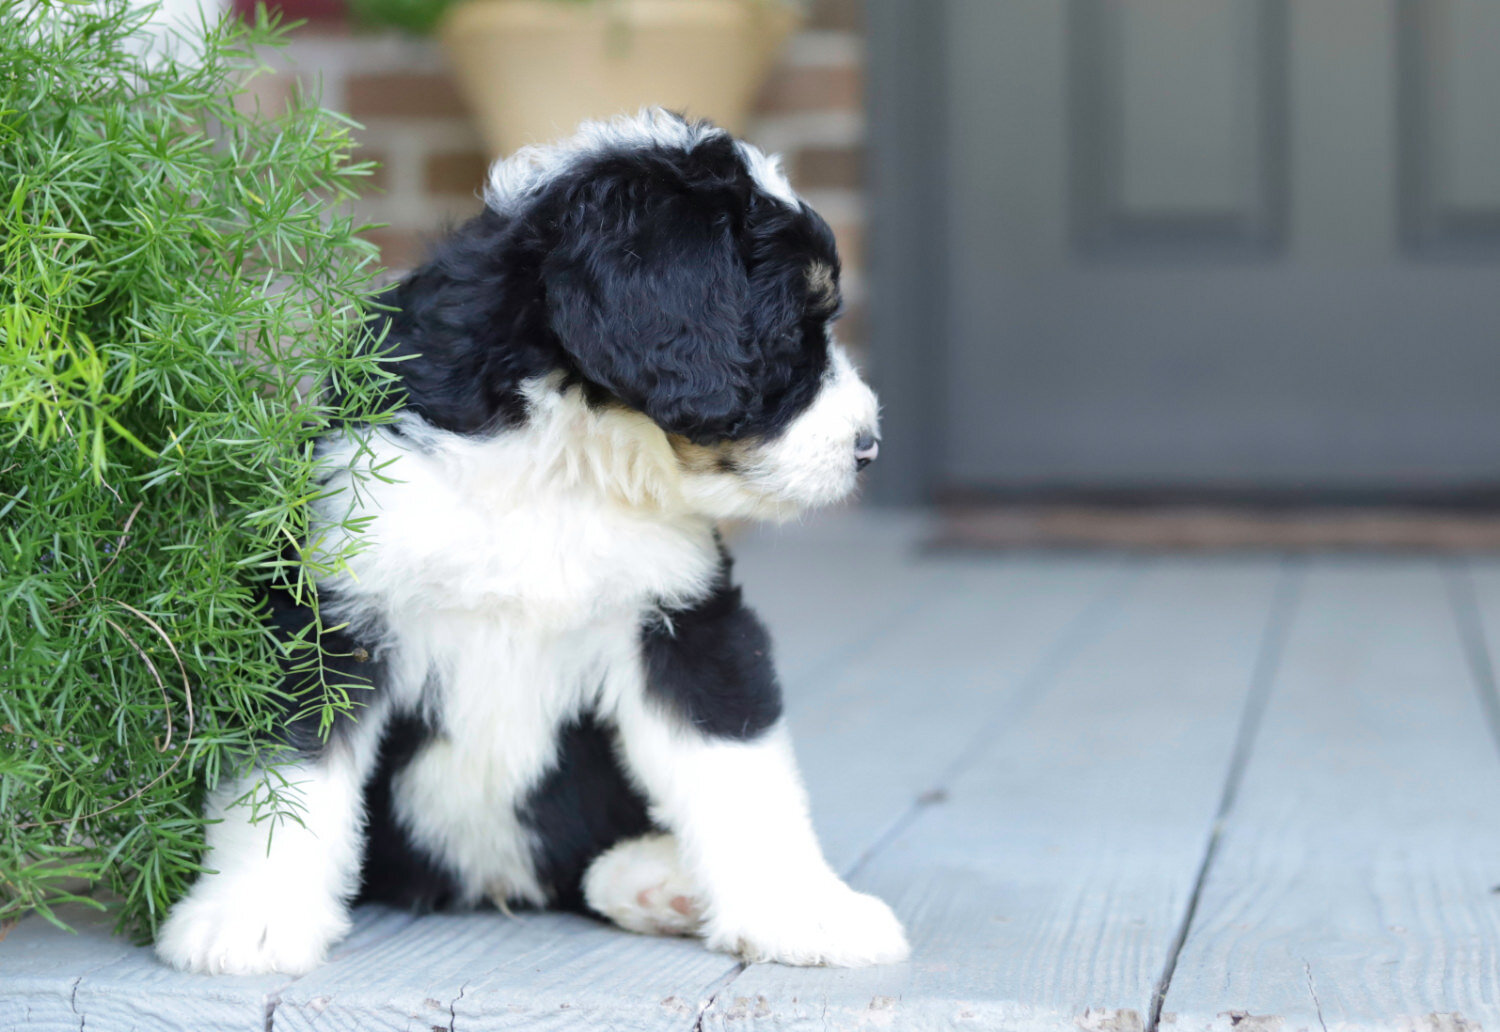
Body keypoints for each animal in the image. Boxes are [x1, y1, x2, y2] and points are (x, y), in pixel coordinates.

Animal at [155, 106, 900, 978]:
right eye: (792, 331)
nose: (867, 447)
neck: (560, 458)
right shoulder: (330, 611)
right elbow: (282, 780)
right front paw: (247, 918)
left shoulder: (686, 626)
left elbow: (742, 774)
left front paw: (805, 913)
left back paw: (656, 880)